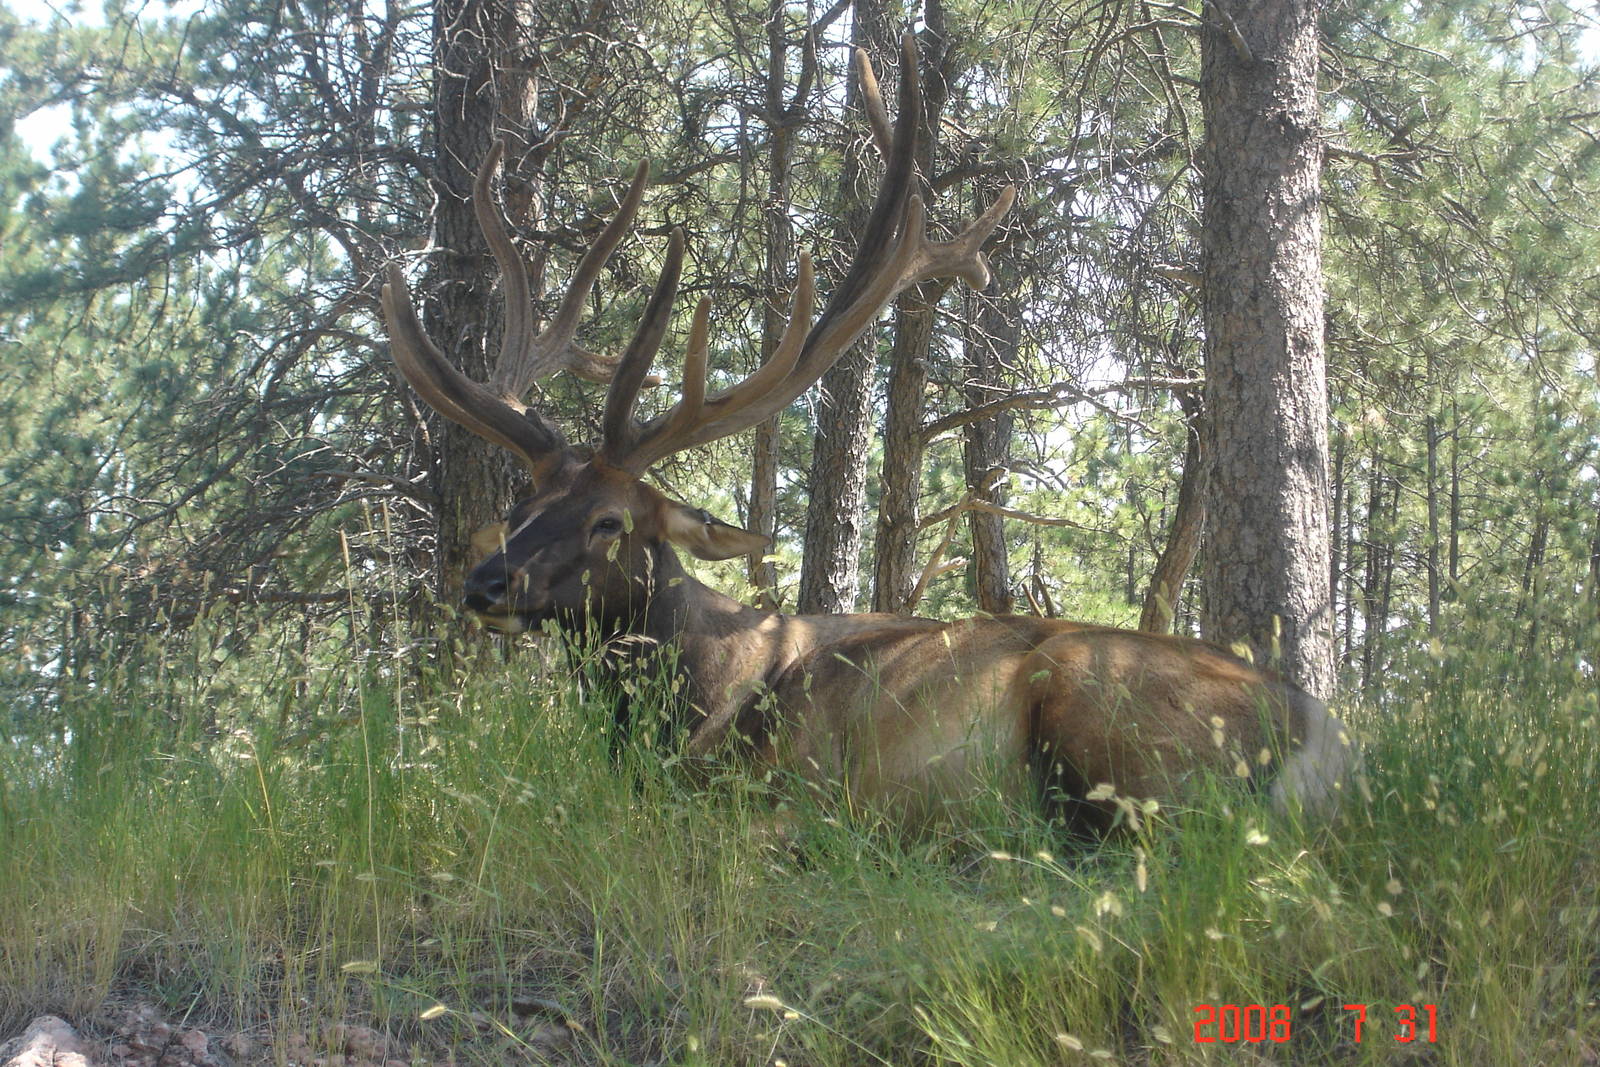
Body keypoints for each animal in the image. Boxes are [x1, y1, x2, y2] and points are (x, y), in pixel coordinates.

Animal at [379, 37, 1356, 835]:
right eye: (521, 504)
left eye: (611, 521)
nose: (485, 581)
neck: (693, 699)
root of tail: (1327, 734)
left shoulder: (788, 783)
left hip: (1102, 704)